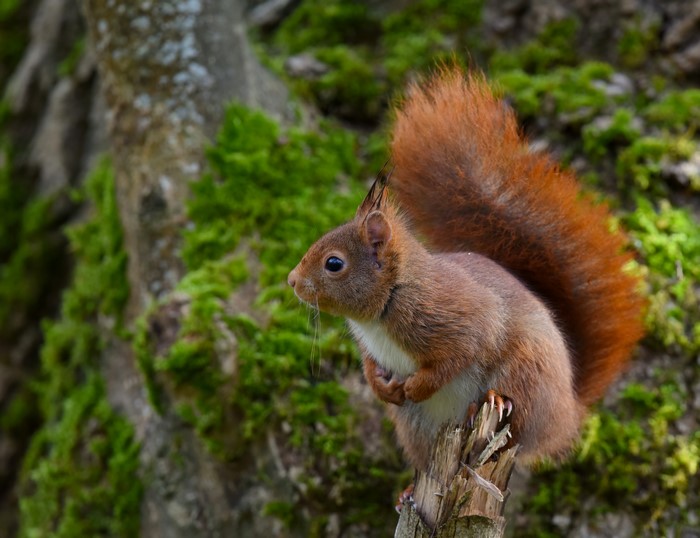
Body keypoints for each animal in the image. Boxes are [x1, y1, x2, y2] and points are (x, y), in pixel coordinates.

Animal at [287, 67, 645, 471]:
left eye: (334, 264)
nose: (292, 281)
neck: (390, 301)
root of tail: (568, 414)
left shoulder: (457, 318)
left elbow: (457, 355)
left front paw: (417, 386)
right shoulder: (373, 347)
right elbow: (369, 366)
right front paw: (382, 387)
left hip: (526, 371)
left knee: (517, 425)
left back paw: (492, 402)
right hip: (417, 427)